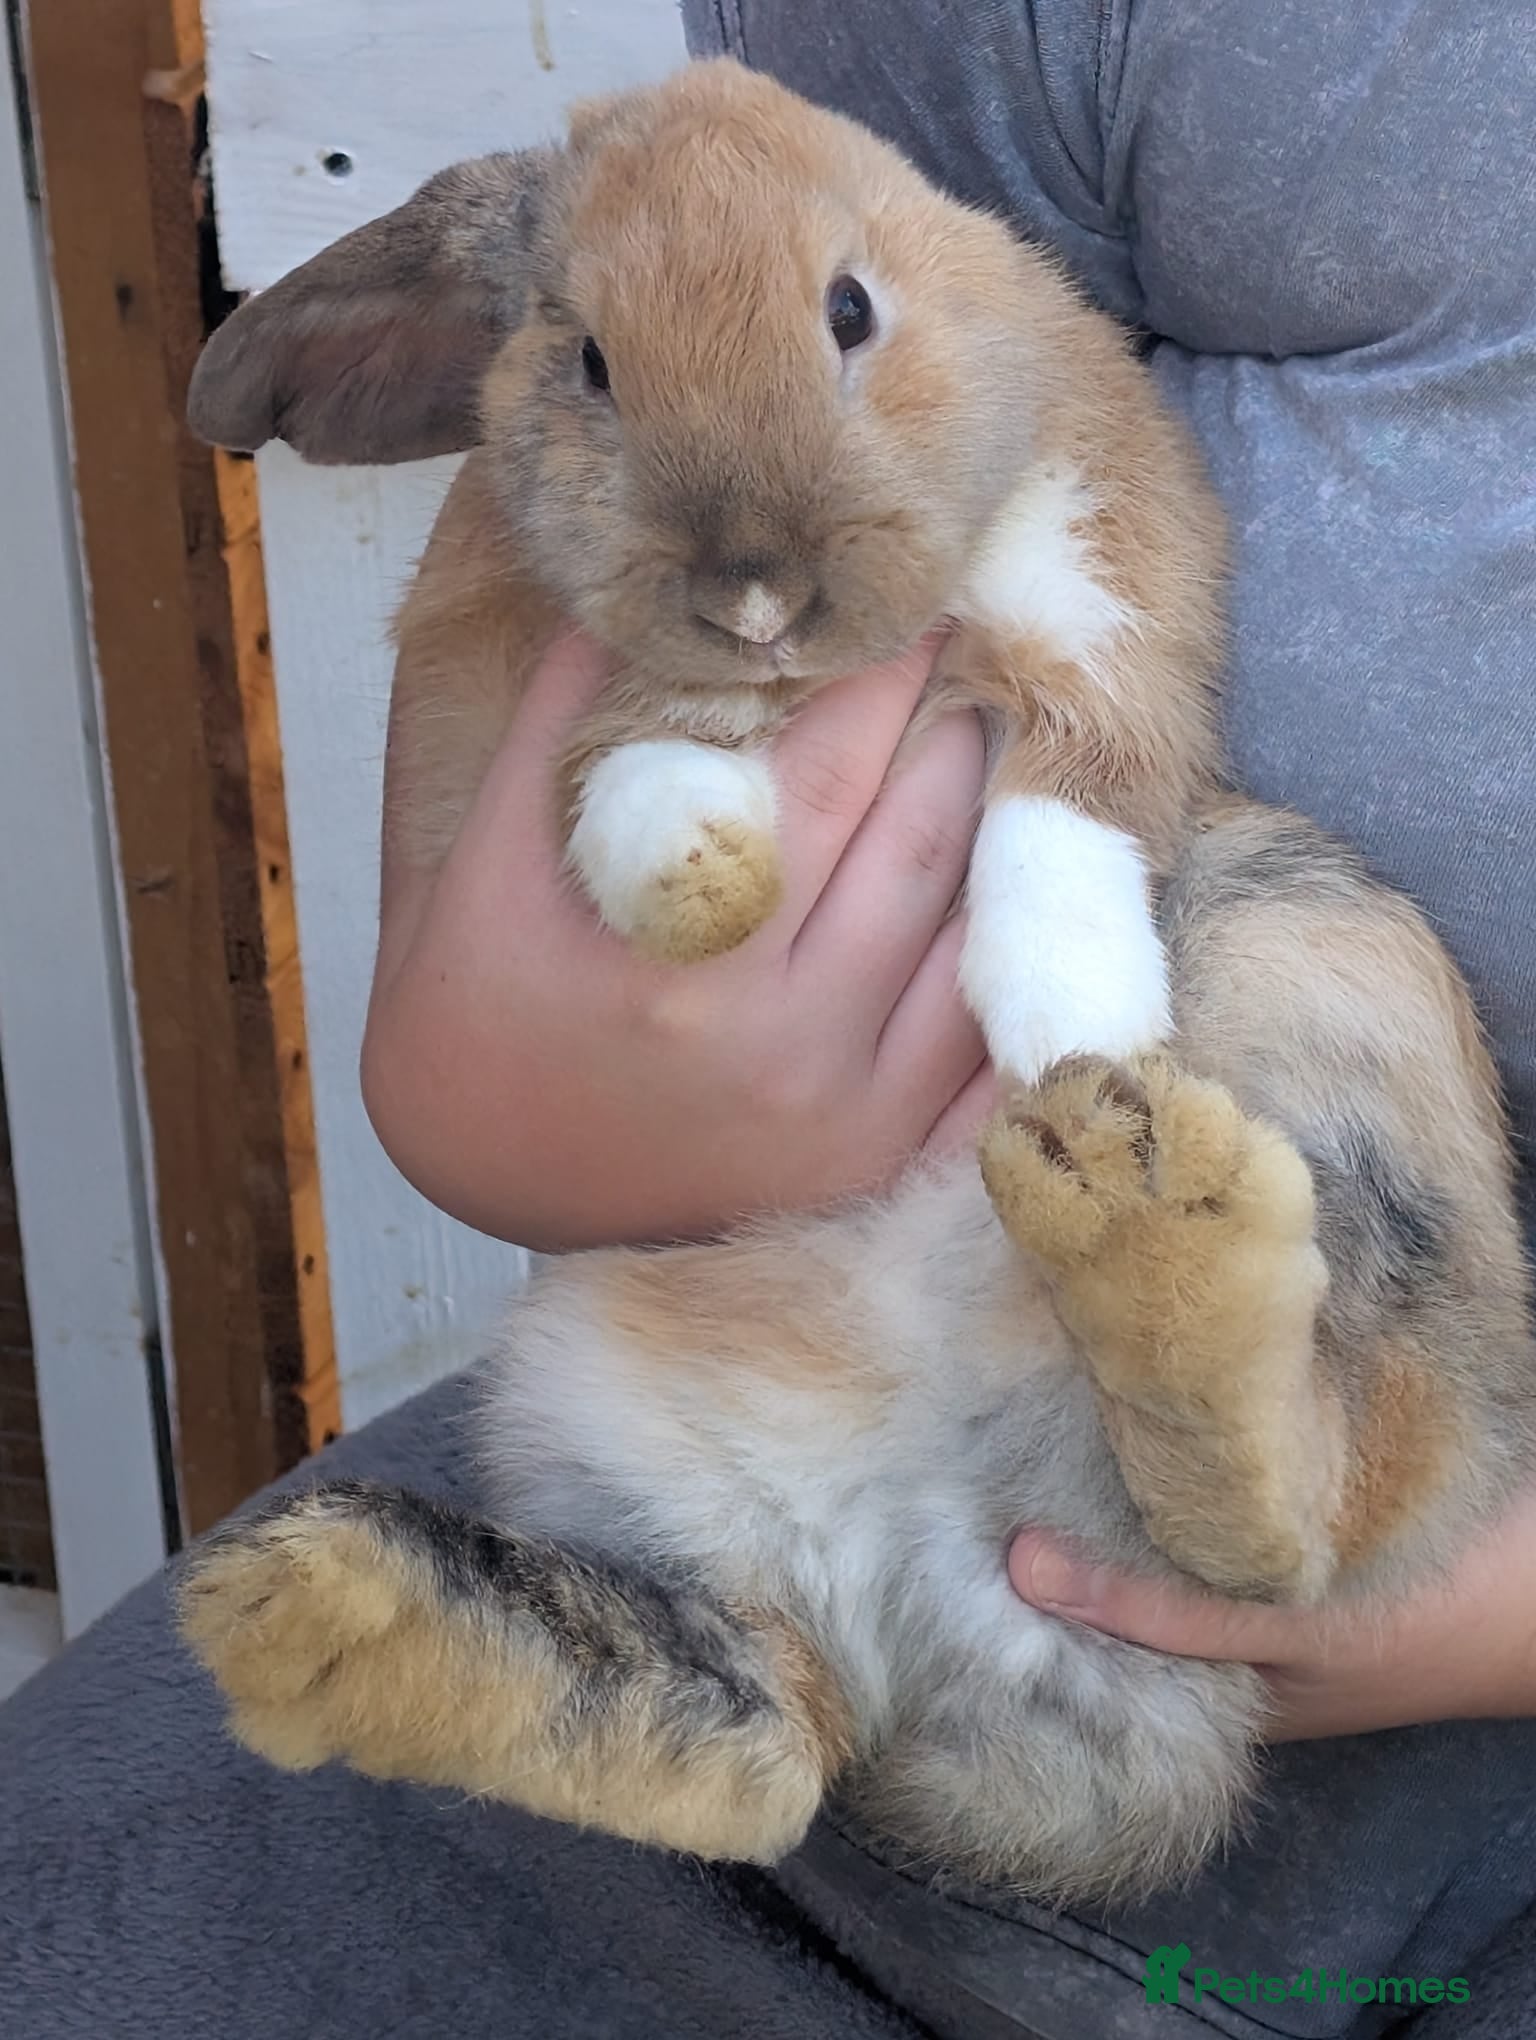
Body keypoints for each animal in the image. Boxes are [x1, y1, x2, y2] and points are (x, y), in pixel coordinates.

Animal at [178, 60, 1535, 1903]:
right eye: (584, 356)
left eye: (848, 308)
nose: (754, 588)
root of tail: (924, 1572)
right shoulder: (548, 688)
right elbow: (629, 758)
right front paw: (705, 878)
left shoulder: (1104, 571)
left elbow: (1069, 796)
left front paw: (1074, 1033)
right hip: (599, 1440)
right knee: (754, 1738)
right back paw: (324, 1613)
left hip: (1331, 970)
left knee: (1302, 1523)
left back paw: (1131, 1194)